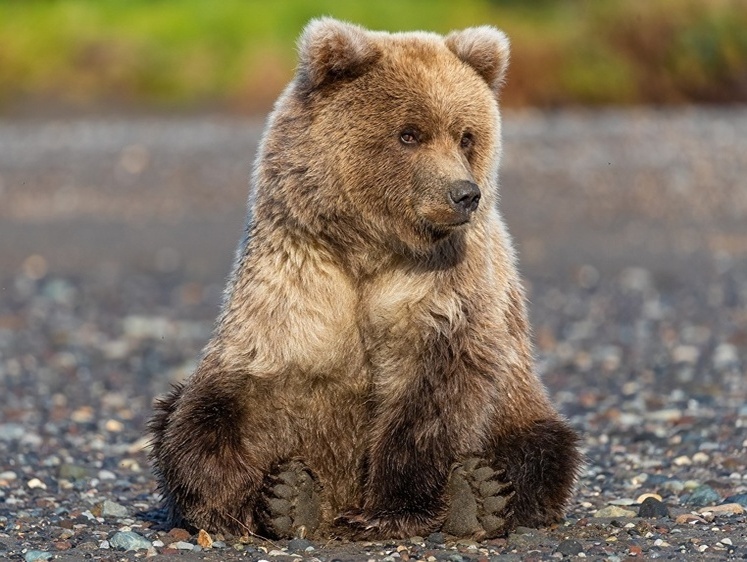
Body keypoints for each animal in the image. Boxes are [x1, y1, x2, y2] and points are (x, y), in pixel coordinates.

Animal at [149, 17, 580, 540]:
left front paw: (391, 510)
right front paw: (237, 501)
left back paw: (478, 495)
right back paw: (296, 500)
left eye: (465, 136)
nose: (464, 194)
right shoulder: (296, 282)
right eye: (409, 134)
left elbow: (433, 398)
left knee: (543, 447)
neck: (369, 250)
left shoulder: (445, 292)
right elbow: (219, 406)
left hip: (520, 405)